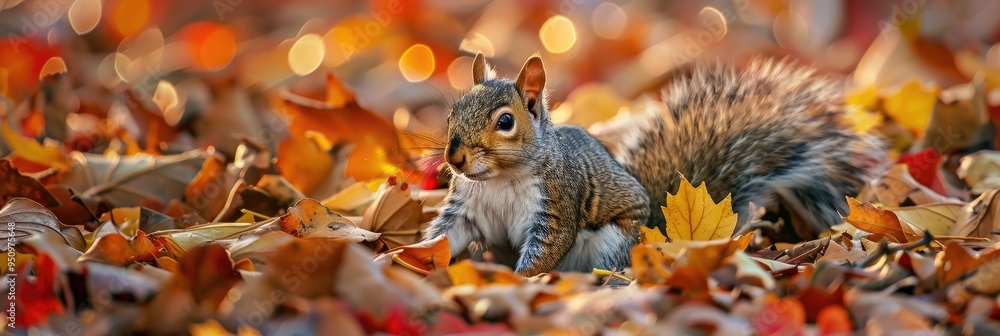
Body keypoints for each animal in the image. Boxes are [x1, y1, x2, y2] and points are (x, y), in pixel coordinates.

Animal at [422, 52, 884, 276]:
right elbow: (445, 235)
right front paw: (415, 258)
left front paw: (518, 281)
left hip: (612, 244)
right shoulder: (466, 208)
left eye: (505, 122)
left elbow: (546, 249)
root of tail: (654, 236)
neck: (498, 179)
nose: (454, 157)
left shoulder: (556, 202)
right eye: (451, 113)